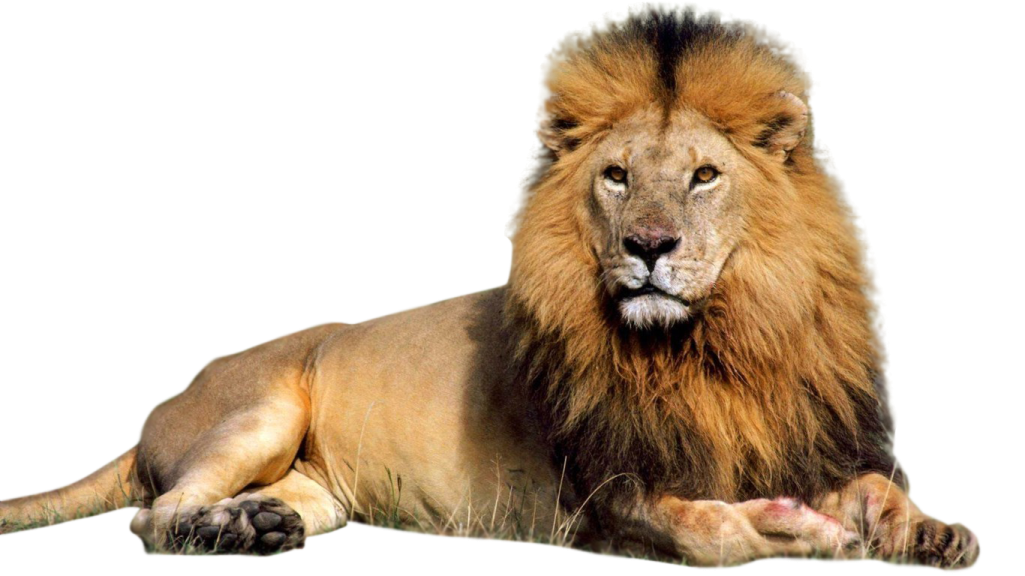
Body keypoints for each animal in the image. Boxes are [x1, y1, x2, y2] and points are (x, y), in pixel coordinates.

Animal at [0, 3, 981, 570]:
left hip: (318, 487)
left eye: (703, 176)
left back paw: (256, 527)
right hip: (260, 409)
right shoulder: (604, 496)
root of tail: (163, 402)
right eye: (616, 176)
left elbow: (885, 490)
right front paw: (800, 532)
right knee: (151, 516)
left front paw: (932, 531)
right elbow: (715, 534)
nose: (648, 245)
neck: (715, 345)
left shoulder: (808, 435)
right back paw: (216, 533)